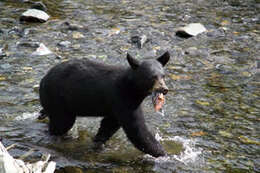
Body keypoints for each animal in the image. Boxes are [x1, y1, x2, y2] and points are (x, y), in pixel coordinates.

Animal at [39, 51, 171, 157]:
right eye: (152, 77)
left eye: (163, 76)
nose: (164, 89)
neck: (133, 88)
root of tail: (43, 79)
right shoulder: (123, 98)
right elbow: (136, 129)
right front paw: (163, 154)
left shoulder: (116, 107)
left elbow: (109, 125)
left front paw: (98, 142)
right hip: (58, 100)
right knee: (61, 123)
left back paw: (42, 115)